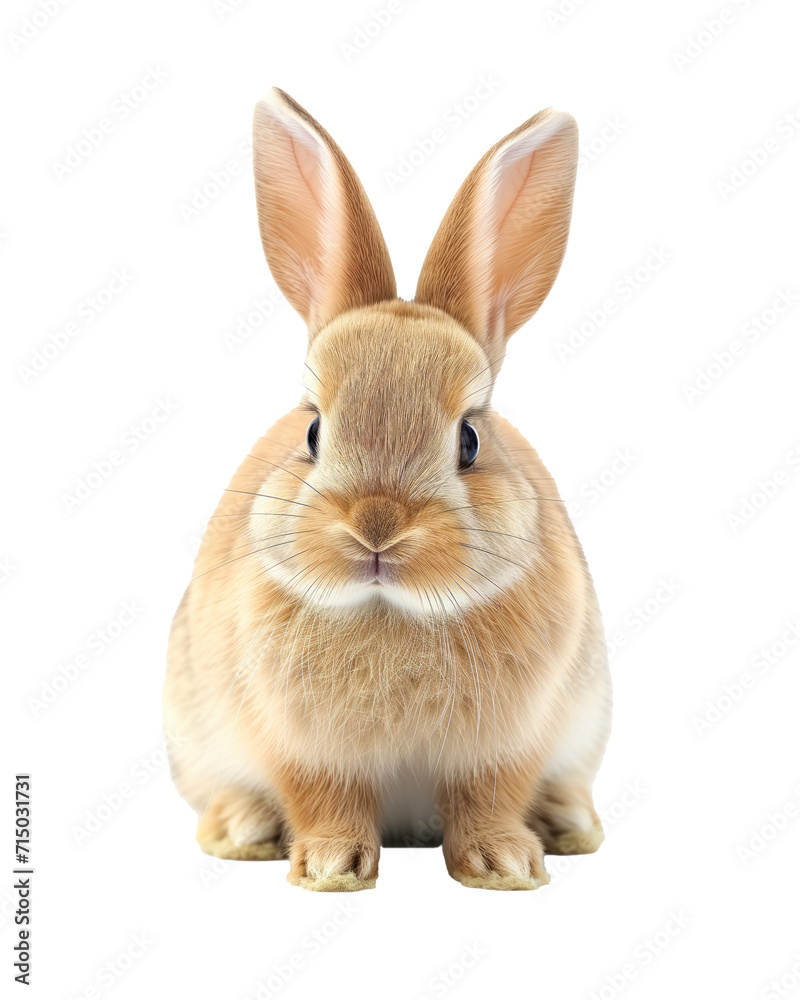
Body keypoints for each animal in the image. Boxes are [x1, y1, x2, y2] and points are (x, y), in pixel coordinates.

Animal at [163, 87, 611, 892]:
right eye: (313, 431)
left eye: (469, 440)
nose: (376, 526)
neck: (391, 609)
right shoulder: (301, 746)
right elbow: (325, 799)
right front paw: (332, 867)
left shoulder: (508, 743)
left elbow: (489, 797)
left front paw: (504, 865)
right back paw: (243, 828)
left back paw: (567, 823)